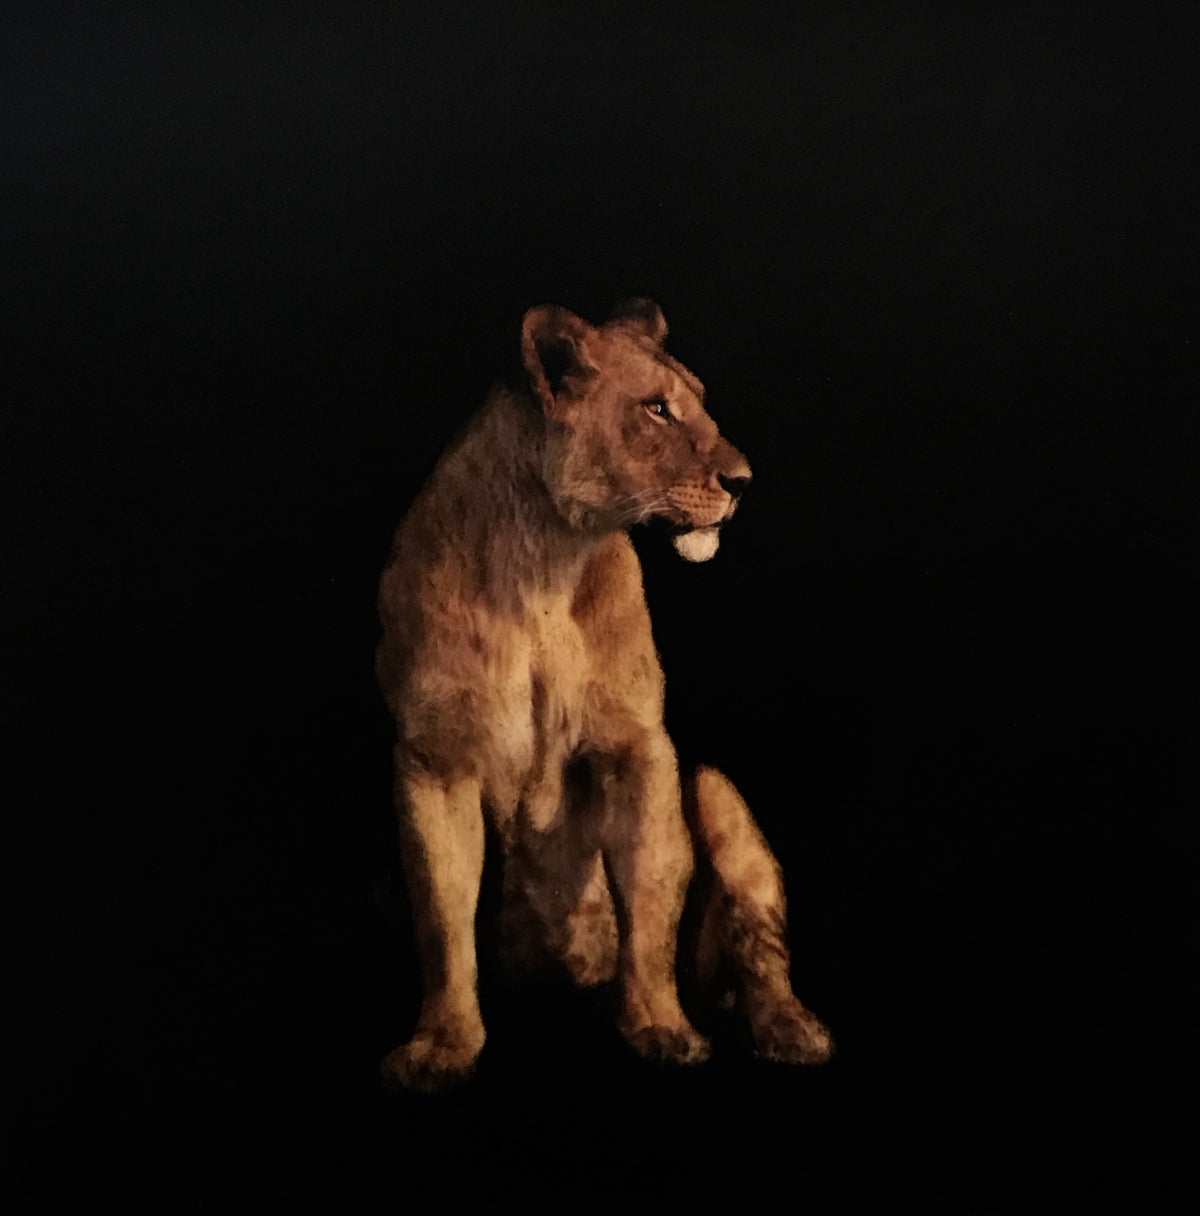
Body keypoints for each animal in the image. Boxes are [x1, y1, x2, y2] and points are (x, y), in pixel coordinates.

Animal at [376, 298, 832, 1091]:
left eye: (699, 402)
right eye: (656, 409)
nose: (744, 481)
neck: (542, 563)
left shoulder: (638, 745)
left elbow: (649, 897)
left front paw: (660, 1028)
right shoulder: (434, 759)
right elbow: (442, 917)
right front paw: (442, 1047)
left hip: (714, 786)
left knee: (761, 947)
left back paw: (794, 1033)